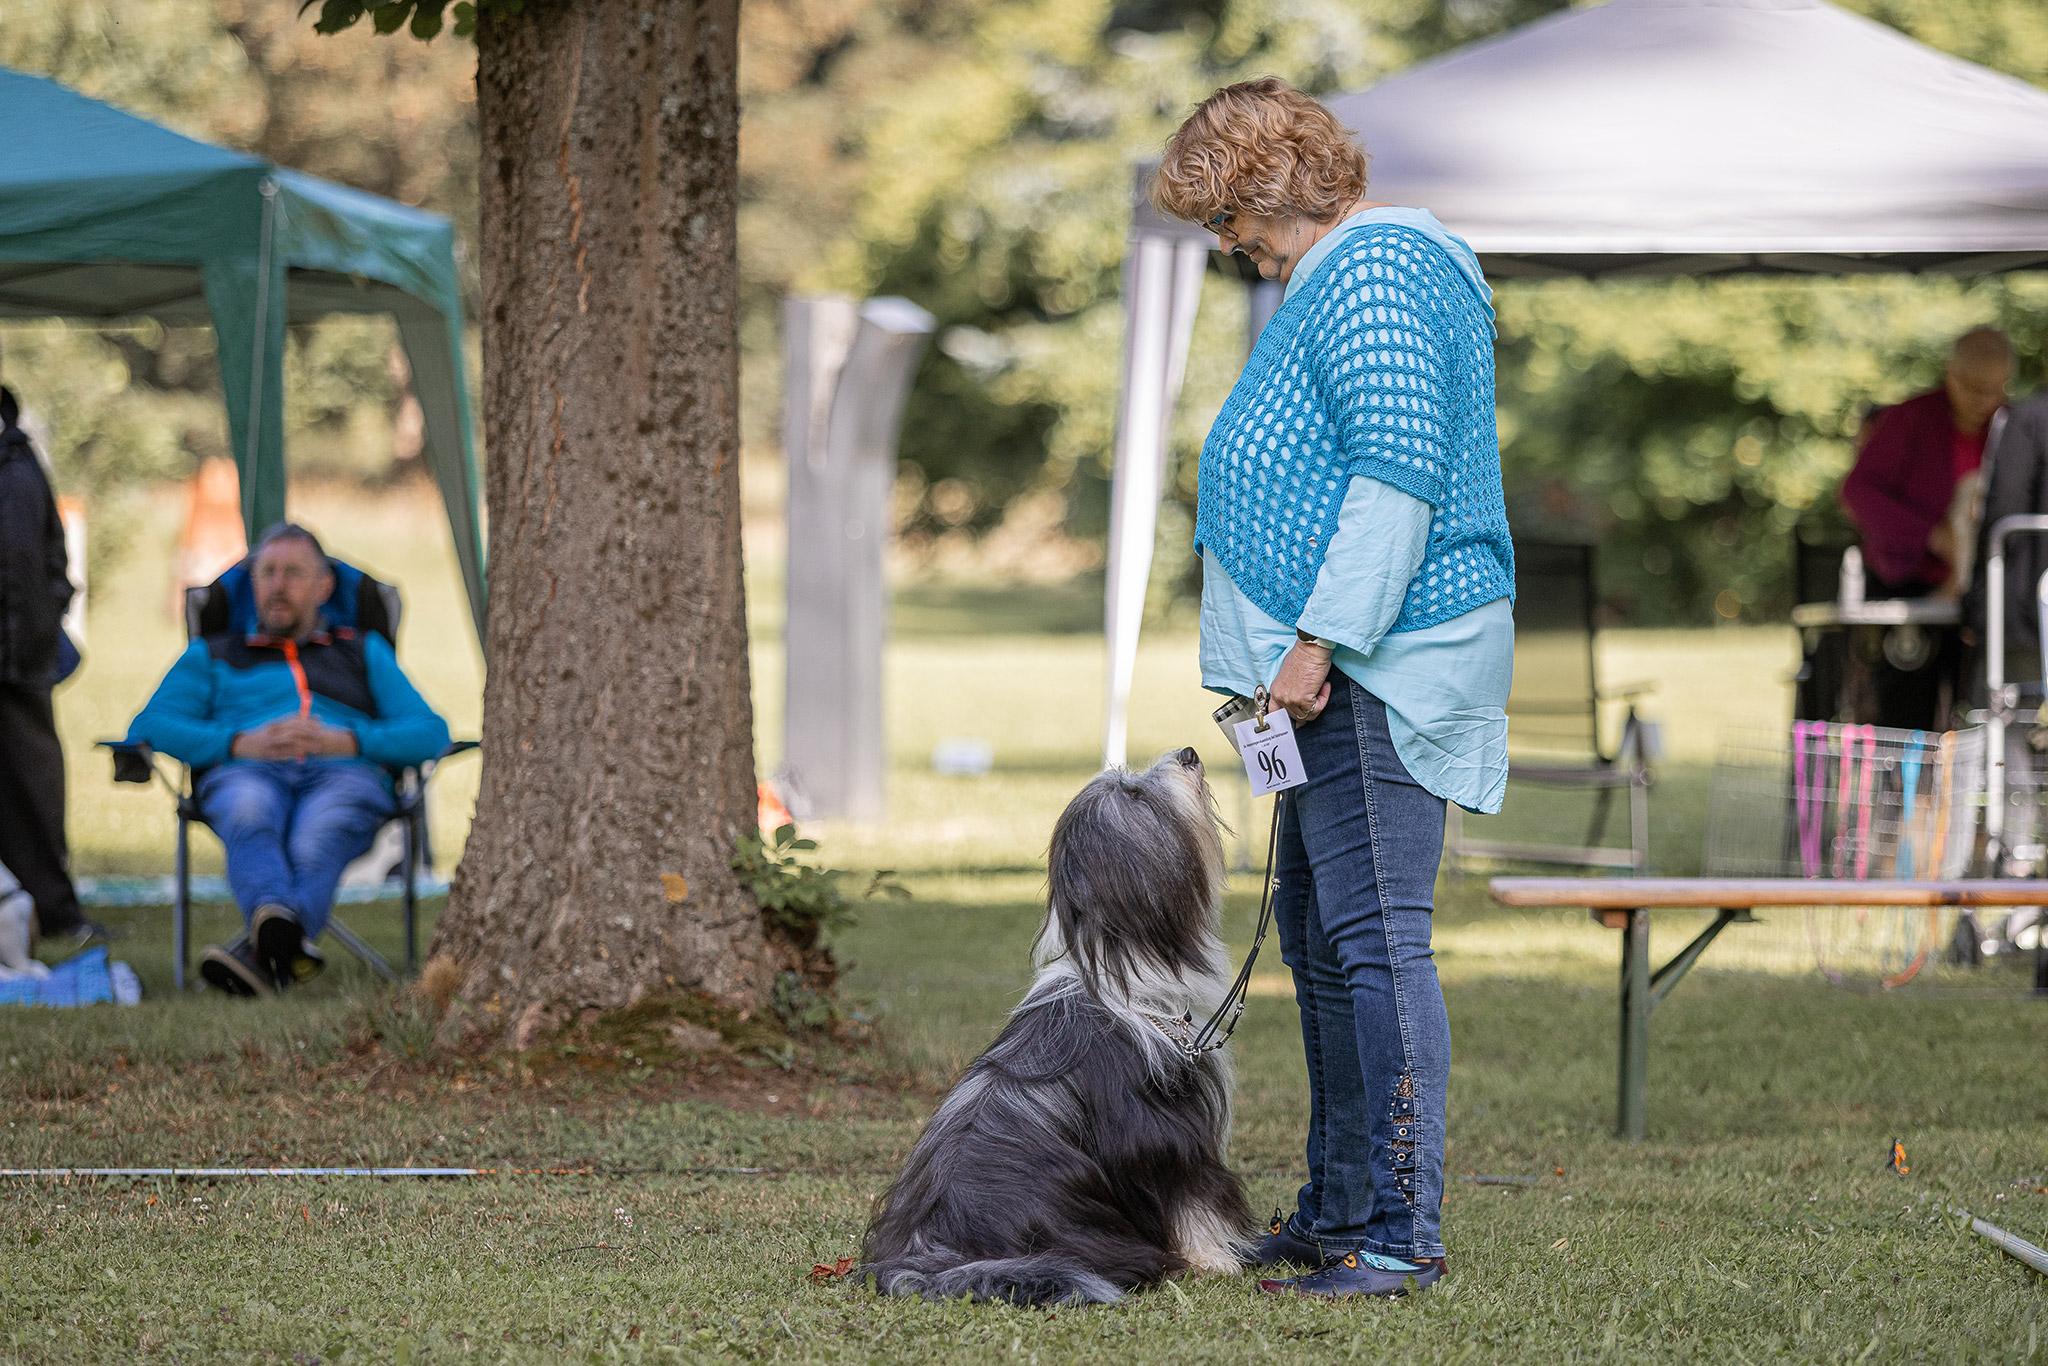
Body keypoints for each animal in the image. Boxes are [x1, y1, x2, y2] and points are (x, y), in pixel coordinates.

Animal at [860, 753, 1253, 1310]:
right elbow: (1194, 1198)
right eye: (1136, 794)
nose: (1189, 753)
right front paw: (1218, 1259)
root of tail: (936, 1249)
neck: (1115, 967)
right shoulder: (1166, 1130)